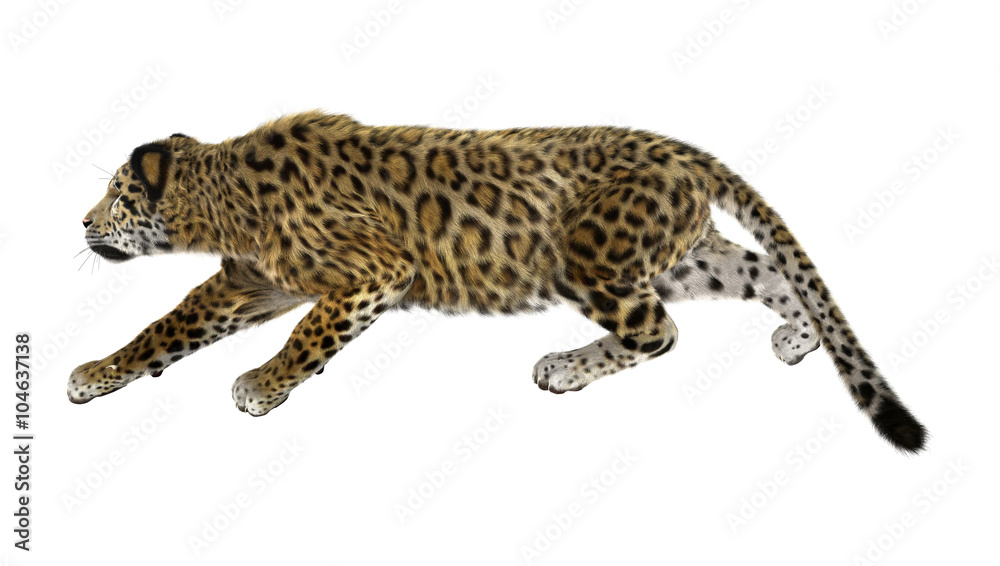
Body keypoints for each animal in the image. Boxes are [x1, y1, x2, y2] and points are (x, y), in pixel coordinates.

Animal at [69, 110, 927, 452]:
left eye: (115, 194)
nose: (81, 224)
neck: (218, 199)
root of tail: (678, 149)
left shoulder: (376, 270)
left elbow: (311, 335)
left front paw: (263, 384)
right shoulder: (252, 284)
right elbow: (168, 328)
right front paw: (97, 373)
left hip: (588, 255)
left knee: (658, 330)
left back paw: (566, 367)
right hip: (684, 257)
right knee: (766, 269)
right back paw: (798, 335)